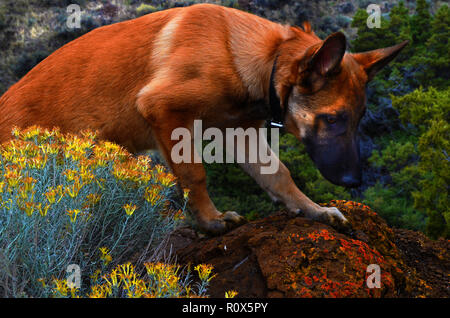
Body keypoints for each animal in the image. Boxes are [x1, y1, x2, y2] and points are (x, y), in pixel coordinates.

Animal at [0, 3, 408, 235]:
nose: (355, 182)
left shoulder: (242, 134)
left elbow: (280, 175)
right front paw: (210, 221)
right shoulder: (165, 112)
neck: (260, 56)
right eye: (335, 118)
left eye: (360, 117)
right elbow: (194, 175)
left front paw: (314, 210)